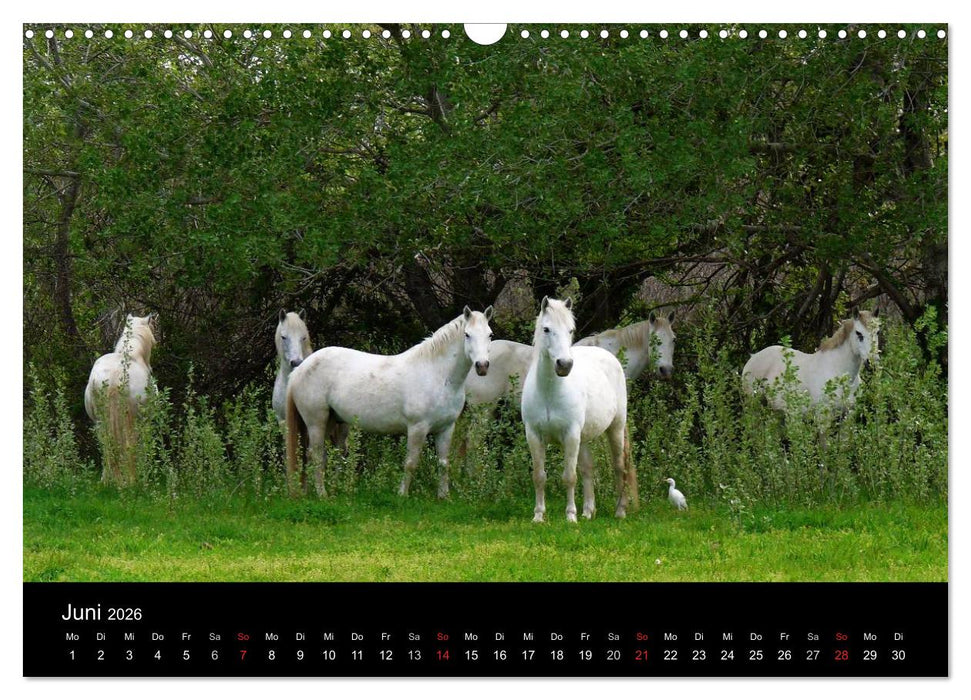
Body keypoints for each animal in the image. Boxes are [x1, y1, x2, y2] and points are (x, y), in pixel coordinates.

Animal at [83, 313, 158, 486]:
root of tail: (114, 377)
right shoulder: (144, 421)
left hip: (100, 421)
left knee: (106, 444)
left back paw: (107, 480)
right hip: (133, 420)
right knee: (130, 444)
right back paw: (132, 480)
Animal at [286, 306, 494, 498]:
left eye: (490, 335)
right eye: (467, 334)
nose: (482, 366)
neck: (437, 374)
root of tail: (300, 369)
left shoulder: (446, 428)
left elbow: (443, 463)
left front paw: (444, 496)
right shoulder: (418, 428)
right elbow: (410, 463)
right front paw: (402, 495)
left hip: (329, 420)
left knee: (313, 455)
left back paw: (308, 491)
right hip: (316, 421)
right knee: (316, 454)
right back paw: (322, 494)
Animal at [520, 297, 633, 522]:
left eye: (570, 330)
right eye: (546, 329)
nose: (564, 365)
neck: (549, 391)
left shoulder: (571, 435)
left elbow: (569, 477)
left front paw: (570, 516)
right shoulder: (534, 436)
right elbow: (539, 476)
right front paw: (538, 516)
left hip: (615, 429)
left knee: (619, 466)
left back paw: (620, 511)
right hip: (584, 438)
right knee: (588, 470)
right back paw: (588, 512)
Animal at [742, 309, 880, 414]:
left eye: (878, 331)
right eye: (858, 333)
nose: (872, 364)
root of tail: (753, 357)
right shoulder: (823, 416)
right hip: (753, 405)